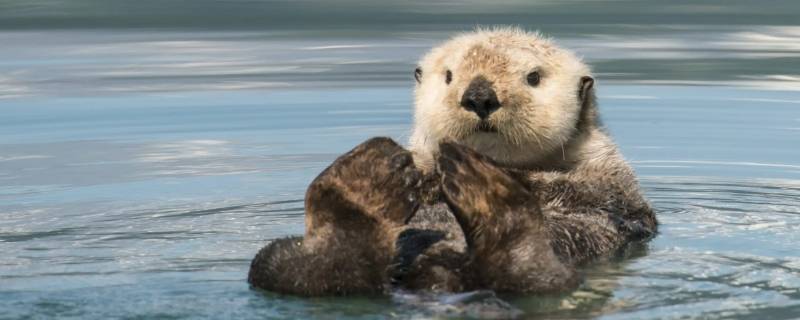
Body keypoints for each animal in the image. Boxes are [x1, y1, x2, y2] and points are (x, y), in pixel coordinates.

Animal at [248, 28, 656, 298]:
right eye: (448, 76)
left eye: (534, 77)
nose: (479, 95)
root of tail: (439, 276)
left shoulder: (613, 184)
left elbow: (586, 196)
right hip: (277, 260)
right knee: (309, 274)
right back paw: (363, 185)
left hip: (555, 275)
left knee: (531, 276)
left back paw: (485, 191)